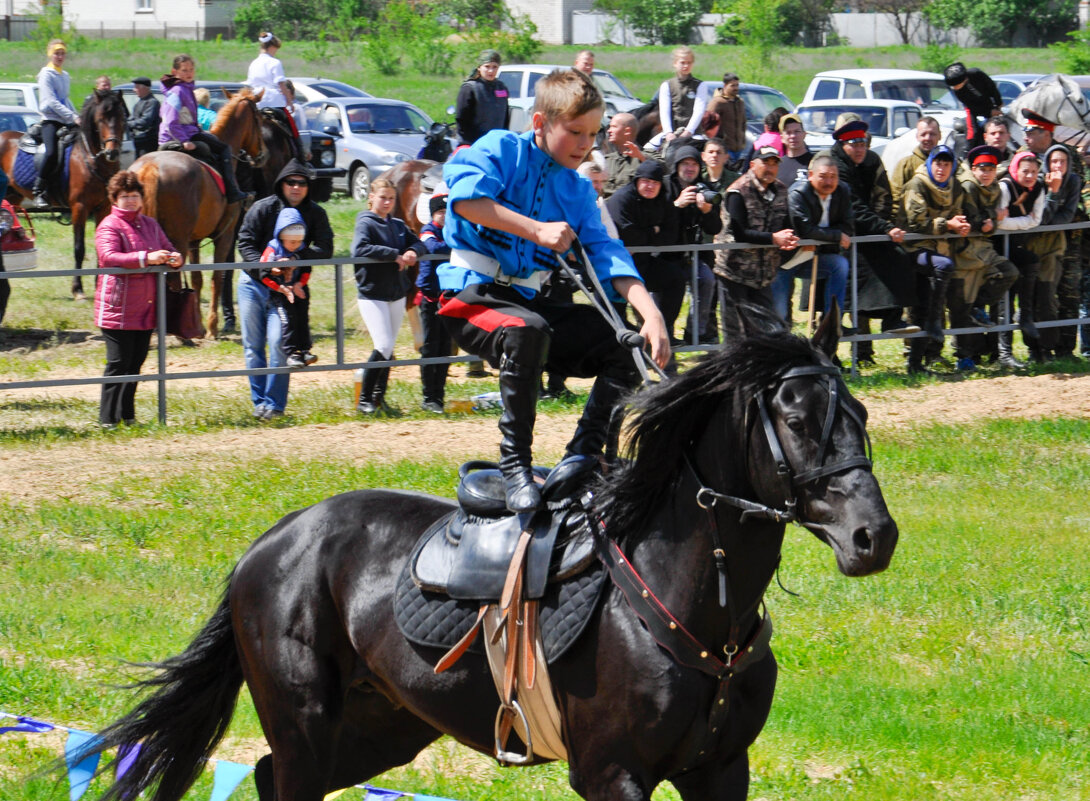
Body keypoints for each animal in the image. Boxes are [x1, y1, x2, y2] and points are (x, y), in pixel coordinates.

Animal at [0, 90, 126, 298]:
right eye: (100, 119)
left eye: (122, 117)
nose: (112, 153)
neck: (89, 158)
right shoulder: (79, 207)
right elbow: (79, 248)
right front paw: (78, 289)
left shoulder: (103, 208)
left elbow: (101, 245)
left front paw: (99, 283)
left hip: (12, 196)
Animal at [74, 311, 893, 801]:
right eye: (796, 418)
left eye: (857, 413)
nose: (873, 536)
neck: (690, 604)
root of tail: (275, 540)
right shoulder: (614, 774)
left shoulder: (721, 770)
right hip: (304, 718)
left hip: (382, 726)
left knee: (272, 774)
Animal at [132, 88, 268, 337]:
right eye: (259, 118)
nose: (263, 154)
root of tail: (151, 168)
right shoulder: (225, 236)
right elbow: (217, 276)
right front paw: (212, 325)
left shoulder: (194, 240)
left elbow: (196, 279)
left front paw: (198, 323)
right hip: (178, 240)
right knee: (173, 277)